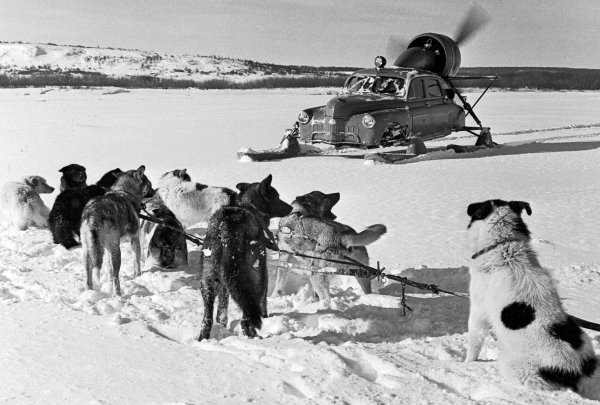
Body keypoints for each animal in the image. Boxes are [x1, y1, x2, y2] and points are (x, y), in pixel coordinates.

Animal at [79, 166, 155, 296]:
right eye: (149, 184)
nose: (155, 191)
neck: (125, 192)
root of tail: (94, 214)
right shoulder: (134, 239)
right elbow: (137, 261)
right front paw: (138, 276)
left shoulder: (106, 249)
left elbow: (109, 268)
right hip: (116, 249)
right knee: (116, 277)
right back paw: (118, 295)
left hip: (88, 250)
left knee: (89, 277)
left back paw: (89, 292)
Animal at [199, 172, 292, 340]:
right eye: (277, 197)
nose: (291, 207)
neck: (248, 206)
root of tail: (227, 227)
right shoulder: (263, 274)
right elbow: (262, 304)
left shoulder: (225, 282)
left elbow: (222, 311)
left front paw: (222, 323)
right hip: (254, 278)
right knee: (246, 317)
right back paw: (254, 337)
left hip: (209, 280)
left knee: (207, 320)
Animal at [468, 199, 600, 398]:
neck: (504, 247)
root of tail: (576, 369)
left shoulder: (478, 310)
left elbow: (474, 341)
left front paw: (466, 363)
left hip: (513, 366)